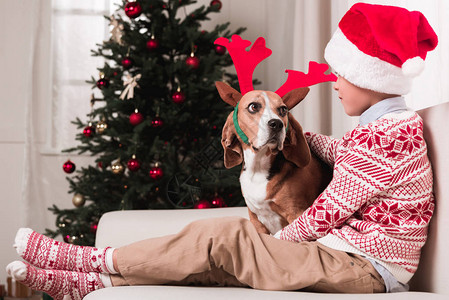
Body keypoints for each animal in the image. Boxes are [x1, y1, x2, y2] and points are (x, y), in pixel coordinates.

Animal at [215, 81, 330, 234]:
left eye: (283, 110)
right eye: (253, 106)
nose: (277, 124)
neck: (258, 169)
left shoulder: (296, 213)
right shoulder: (256, 221)